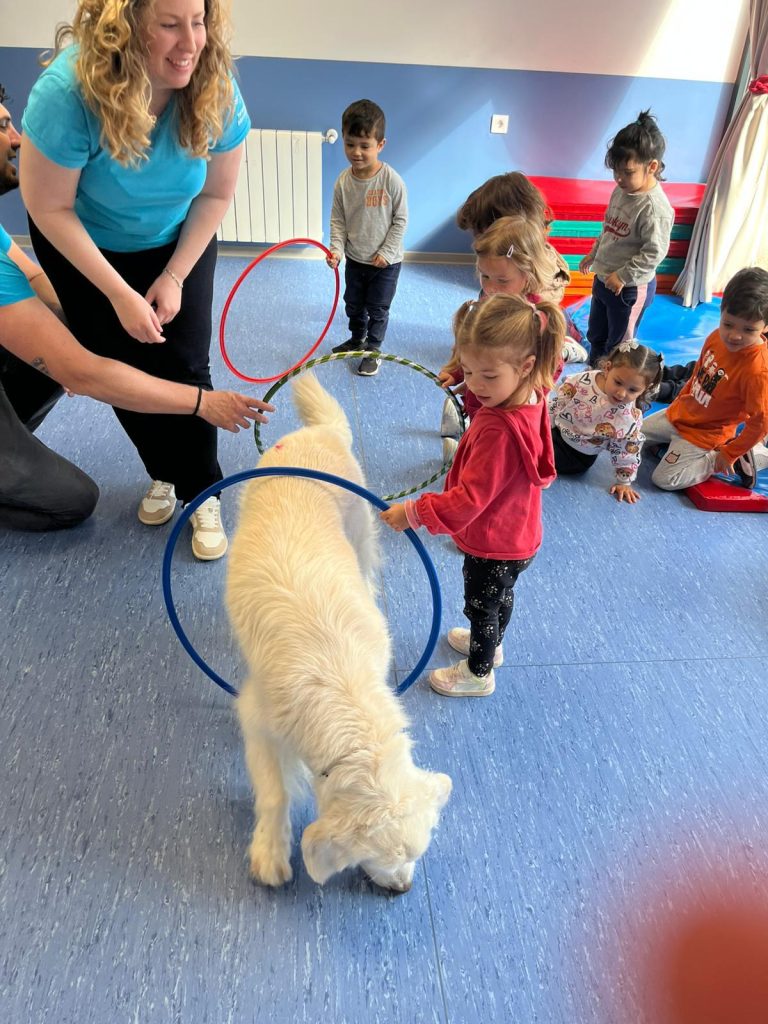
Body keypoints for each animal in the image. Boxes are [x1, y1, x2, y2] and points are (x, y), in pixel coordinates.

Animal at [225, 373, 451, 892]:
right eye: (379, 858)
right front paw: (271, 853)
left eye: (418, 853)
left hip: (360, 530)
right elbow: (274, 792)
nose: (403, 889)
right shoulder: (257, 716)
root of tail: (321, 431)